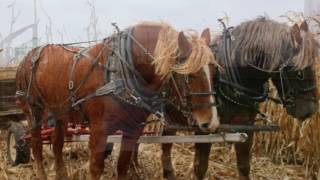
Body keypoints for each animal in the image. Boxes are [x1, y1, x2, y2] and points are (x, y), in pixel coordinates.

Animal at [15, 21, 220, 179]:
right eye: (190, 75)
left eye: (213, 70)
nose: (211, 123)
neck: (120, 71)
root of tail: (29, 55)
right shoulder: (99, 130)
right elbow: (96, 169)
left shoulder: (133, 128)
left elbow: (122, 166)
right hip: (33, 110)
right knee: (36, 145)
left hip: (59, 112)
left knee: (57, 144)